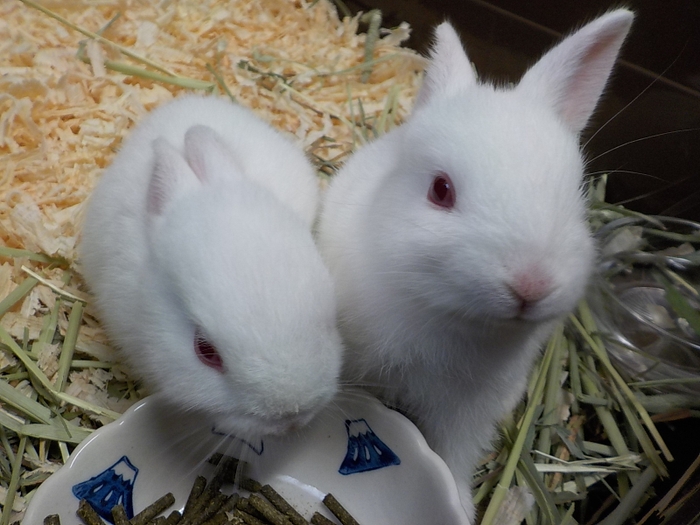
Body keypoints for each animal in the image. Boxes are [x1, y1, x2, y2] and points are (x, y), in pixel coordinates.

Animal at [318, 10, 636, 516]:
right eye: (440, 190)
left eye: (575, 196)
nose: (531, 284)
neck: (451, 317)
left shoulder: (468, 411)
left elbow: (453, 457)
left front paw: (462, 508)